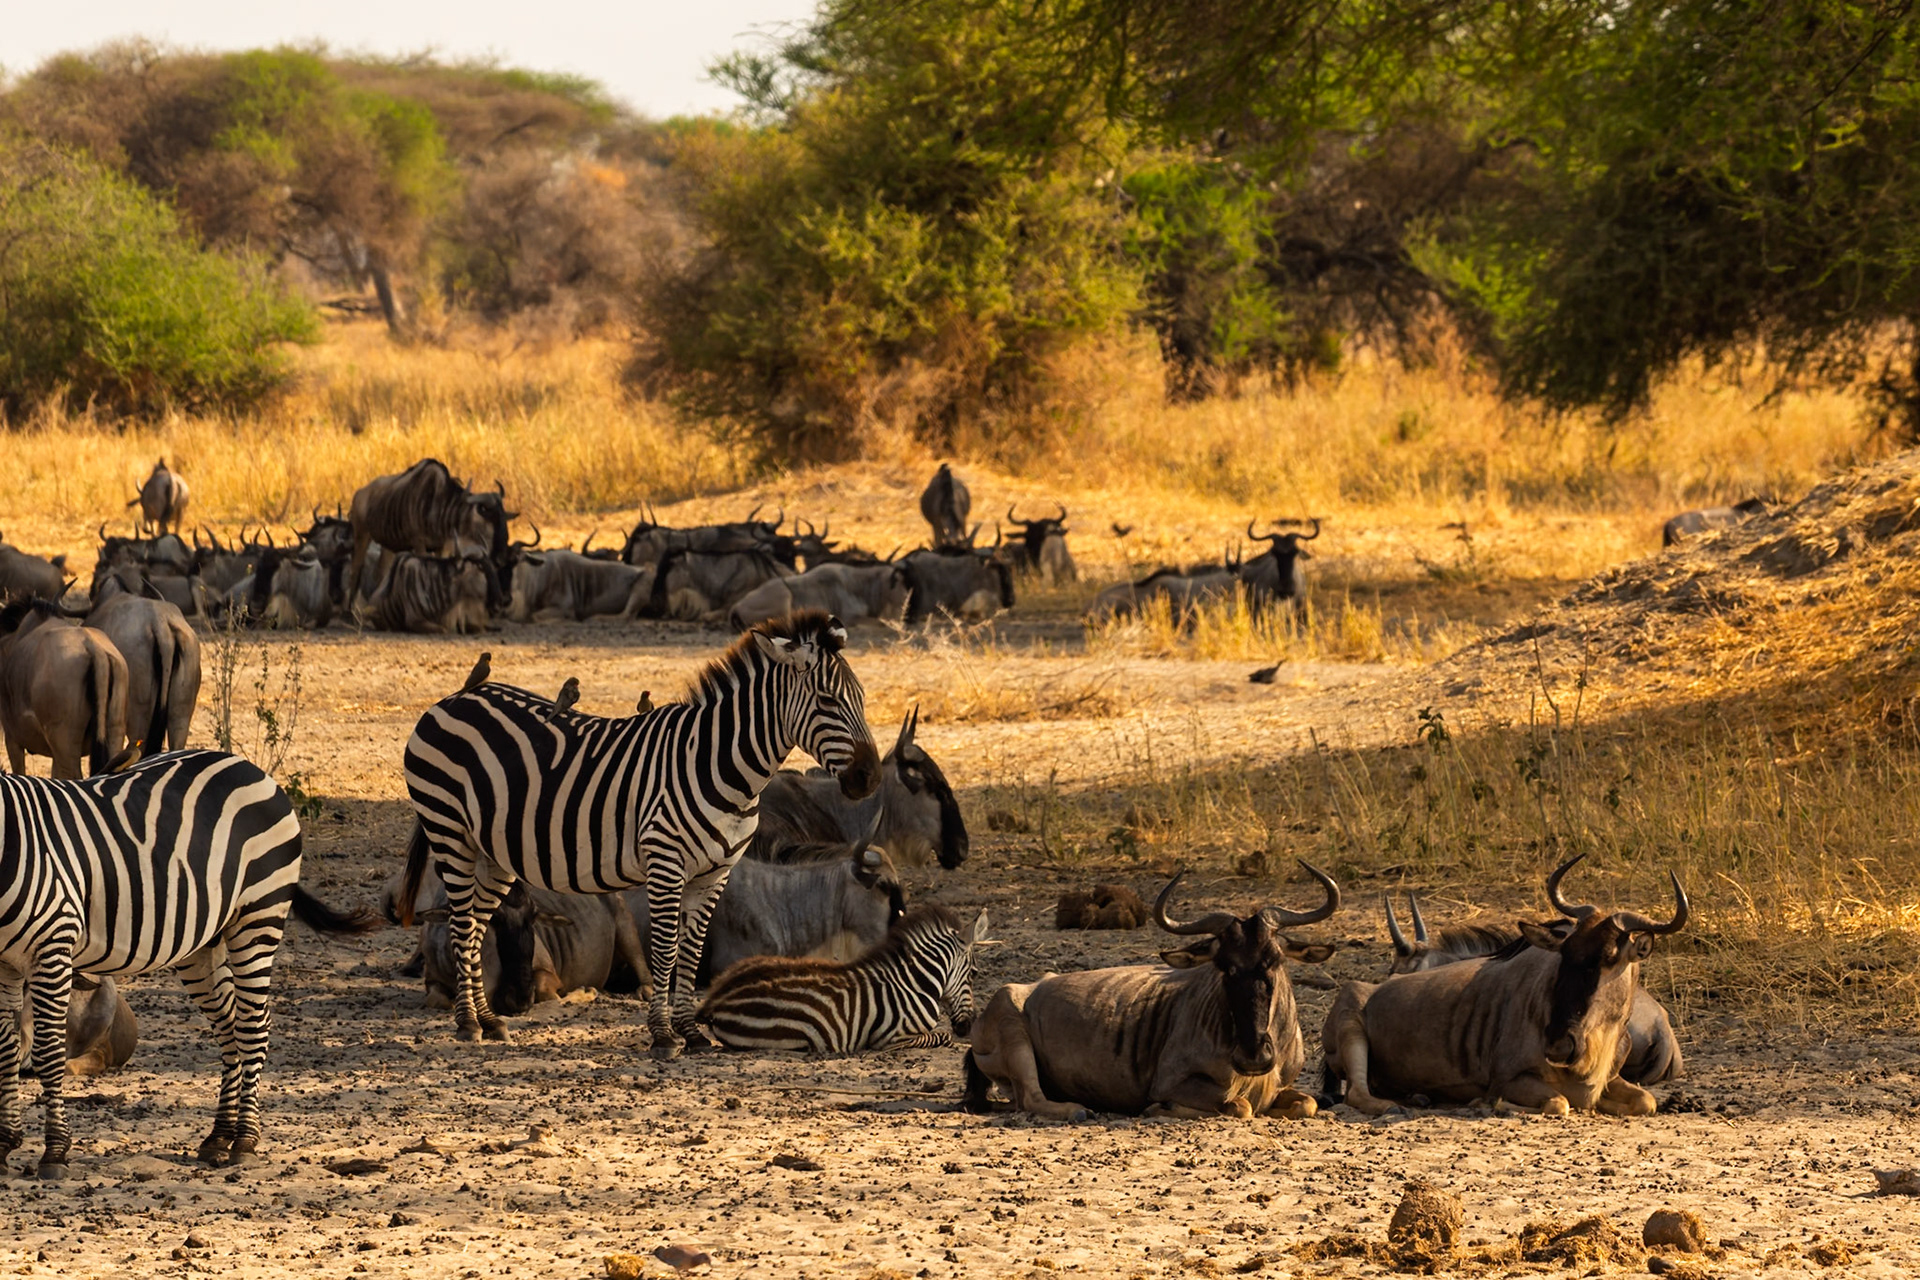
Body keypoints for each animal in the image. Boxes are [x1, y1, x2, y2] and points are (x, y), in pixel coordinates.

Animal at [0, 750, 378, 1179]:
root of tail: (245, 765)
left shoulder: (52, 946)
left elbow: (49, 1051)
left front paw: (54, 1152)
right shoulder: (4, 963)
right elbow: (5, 1049)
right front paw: (5, 1144)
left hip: (259, 916)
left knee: (253, 1026)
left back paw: (245, 1142)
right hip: (202, 944)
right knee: (230, 1027)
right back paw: (218, 1137)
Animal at [400, 610, 881, 1059]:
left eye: (861, 699)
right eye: (827, 700)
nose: (871, 778)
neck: (721, 766)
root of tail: (451, 700)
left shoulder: (716, 872)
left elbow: (690, 952)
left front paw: (691, 1034)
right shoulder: (666, 863)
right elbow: (666, 950)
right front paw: (664, 1035)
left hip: (493, 852)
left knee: (477, 926)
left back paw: (488, 1019)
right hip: (449, 832)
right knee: (462, 925)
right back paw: (467, 1023)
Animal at [696, 904, 988, 1054]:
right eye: (974, 974)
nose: (968, 1027)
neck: (914, 983)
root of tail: (718, 999)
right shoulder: (889, 1038)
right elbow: (941, 1036)